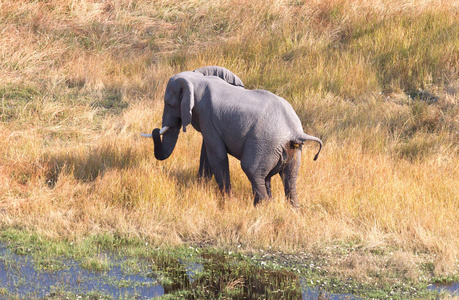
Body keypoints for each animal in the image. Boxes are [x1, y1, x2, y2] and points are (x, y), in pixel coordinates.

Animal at [142, 67, 322, 207]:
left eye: (168, 104)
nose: (155, 129)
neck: (196, 79)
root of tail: (295, 131)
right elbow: (207, 153)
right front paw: (200, 188)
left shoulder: (207, 117)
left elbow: (217, 156)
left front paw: (226, 200)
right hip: (290, 150)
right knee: (289, 177)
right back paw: (291, 209)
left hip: (264, 143)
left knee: (252, 170)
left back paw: (262, 208)